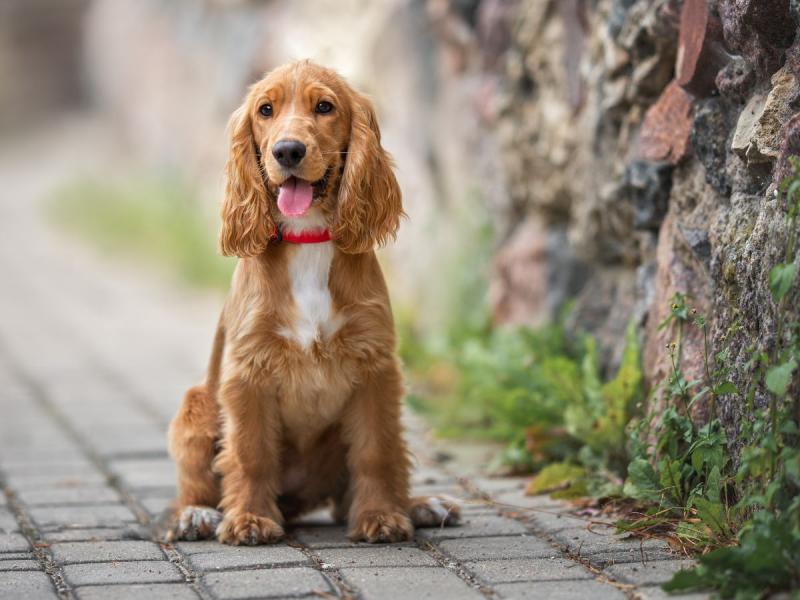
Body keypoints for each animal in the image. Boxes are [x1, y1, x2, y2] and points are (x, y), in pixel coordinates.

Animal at [166, 59, 460, 544]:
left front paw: (381, 515)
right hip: (196, 404)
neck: (309, 238)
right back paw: (197, 515)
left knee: (359, 486)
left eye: (324, 107)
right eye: (265, 110)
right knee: (194, 485)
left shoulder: (375, 367)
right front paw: (248, 519)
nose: (287, 151)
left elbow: (377, 451)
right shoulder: (247, 371)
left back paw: (420, 504)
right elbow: (250, 453)